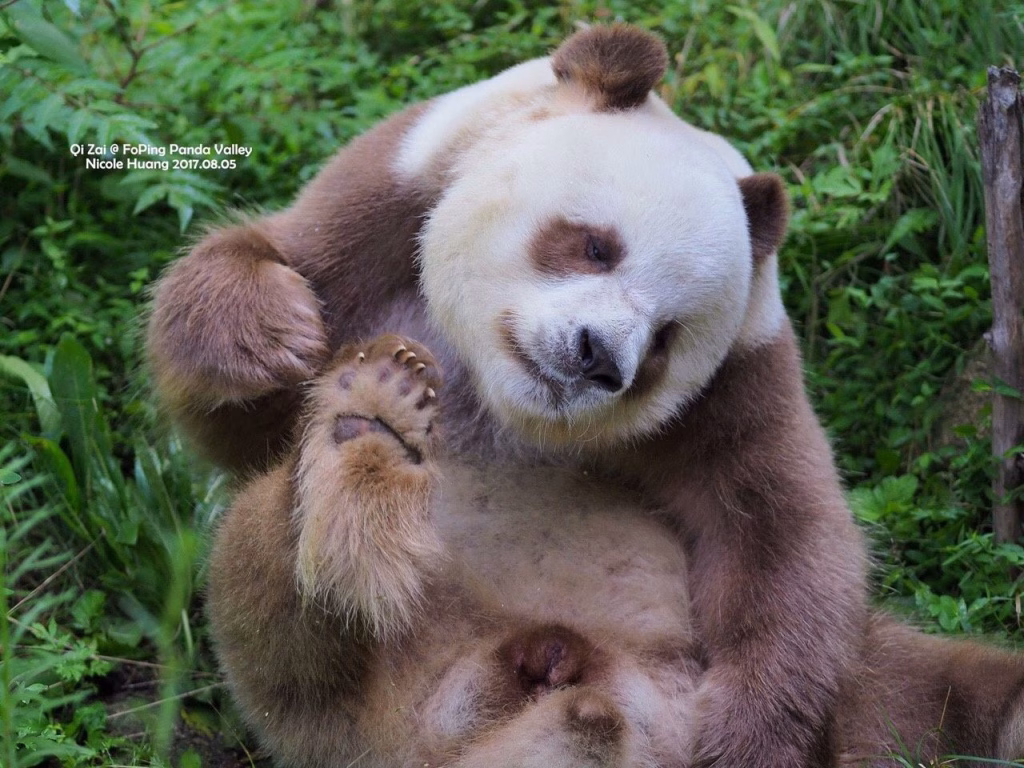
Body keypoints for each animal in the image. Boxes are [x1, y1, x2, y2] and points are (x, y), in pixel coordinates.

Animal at [147, 24, 1024, 768]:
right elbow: (245, 399)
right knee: (277, 580)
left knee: (930, 689)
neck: (498, 401)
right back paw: (372, 431)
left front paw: (745, 739)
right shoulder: (388, 208)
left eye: (667, 337)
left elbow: (781, 533)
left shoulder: (742, 374)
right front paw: (269, 332)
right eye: (596, 246)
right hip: (336, 704)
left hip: (853, 688)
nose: (598, 359)